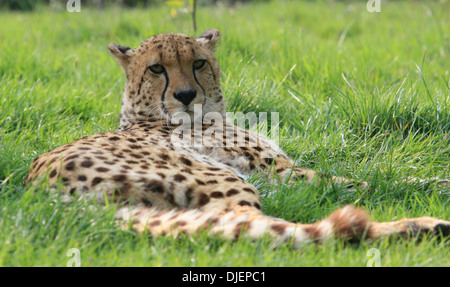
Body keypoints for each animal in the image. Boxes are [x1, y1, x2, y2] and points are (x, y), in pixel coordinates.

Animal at [26, 29, 448, 246]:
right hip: (219, 179)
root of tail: (41, 189)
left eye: (199, 63)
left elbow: (374, 178)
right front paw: (437, 186)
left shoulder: (279, 176)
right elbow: (373, 180)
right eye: (157, 69)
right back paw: (420, 226)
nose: (186, 95)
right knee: (259, 228)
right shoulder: (283, 172)